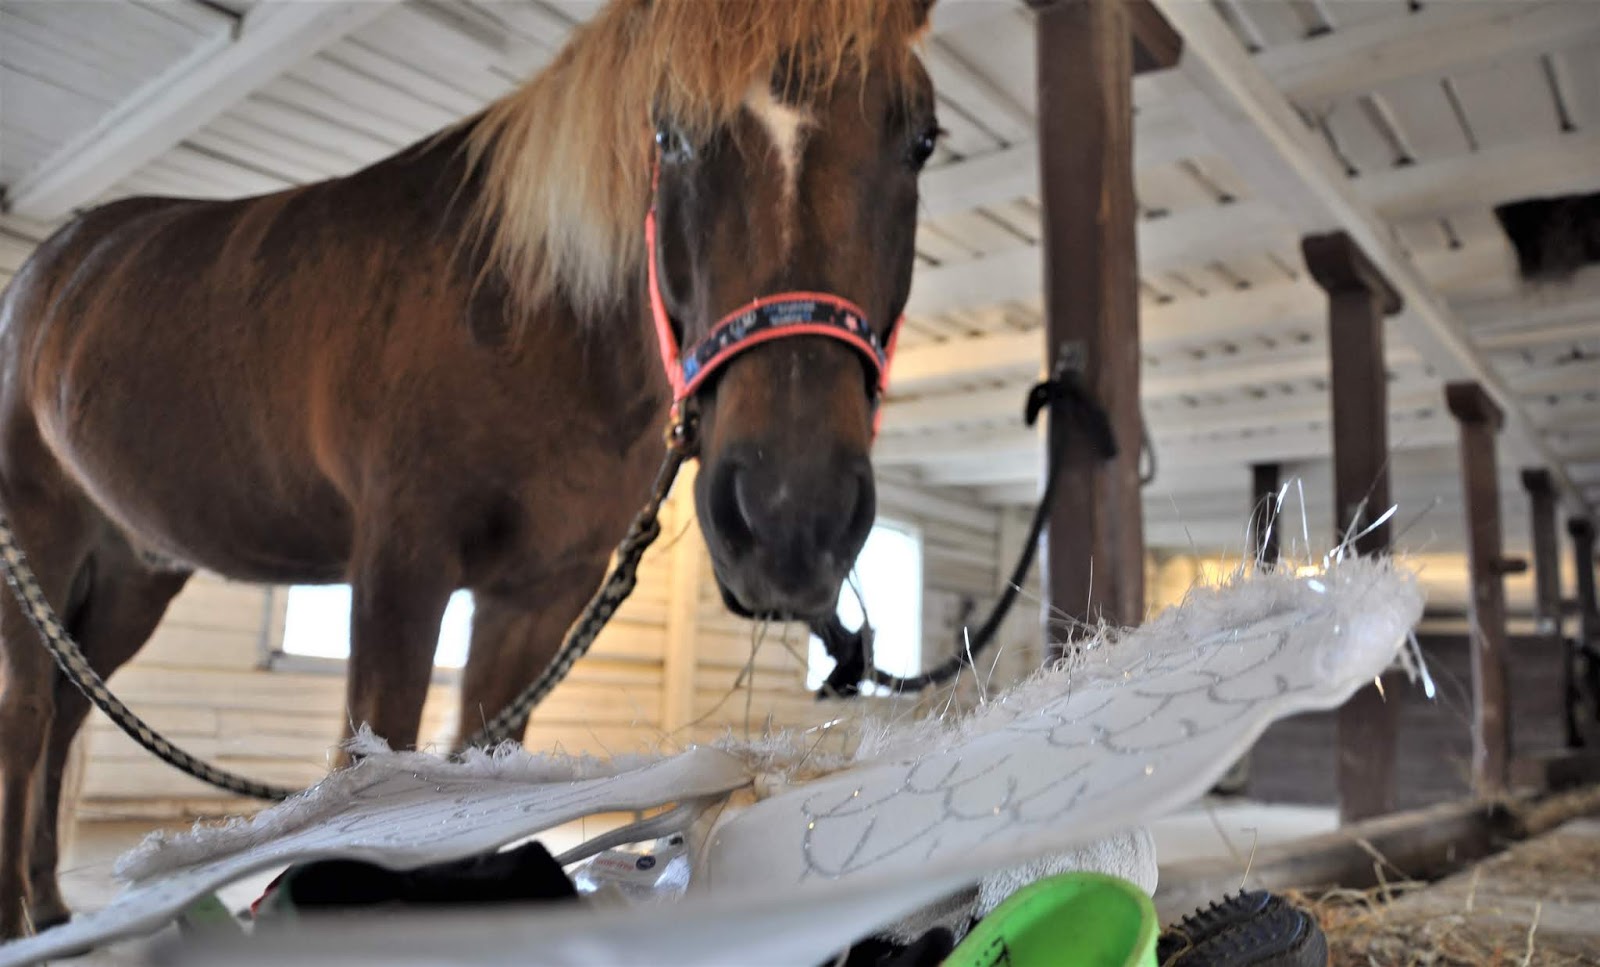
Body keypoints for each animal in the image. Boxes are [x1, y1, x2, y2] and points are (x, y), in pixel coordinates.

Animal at [0, 0, 939, 938]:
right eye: (670, 136)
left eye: (922, 139)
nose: (790, 517)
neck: (523, 308)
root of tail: (50, 269)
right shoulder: (400, 568)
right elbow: (366, 762)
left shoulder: (537, 594)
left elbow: (483, 764)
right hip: (36, 539)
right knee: (30, 712)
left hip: (134, 573)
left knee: (70, 710)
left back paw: (49, 899)